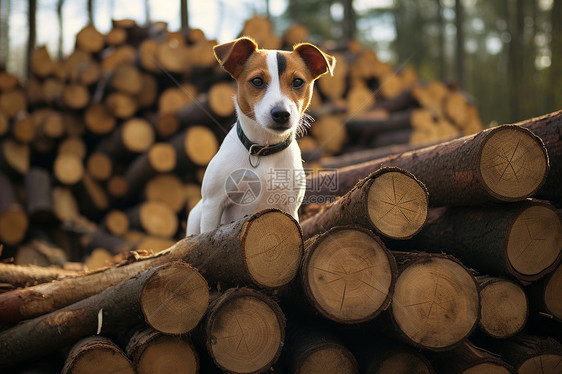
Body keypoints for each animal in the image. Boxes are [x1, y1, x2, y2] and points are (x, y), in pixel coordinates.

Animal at [185, 35, 332, 234]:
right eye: (257, 81)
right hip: (196, 214)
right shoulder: (213, 204)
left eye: (298, 82)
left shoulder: (290, 208)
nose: (281, 113)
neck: (263, 149)